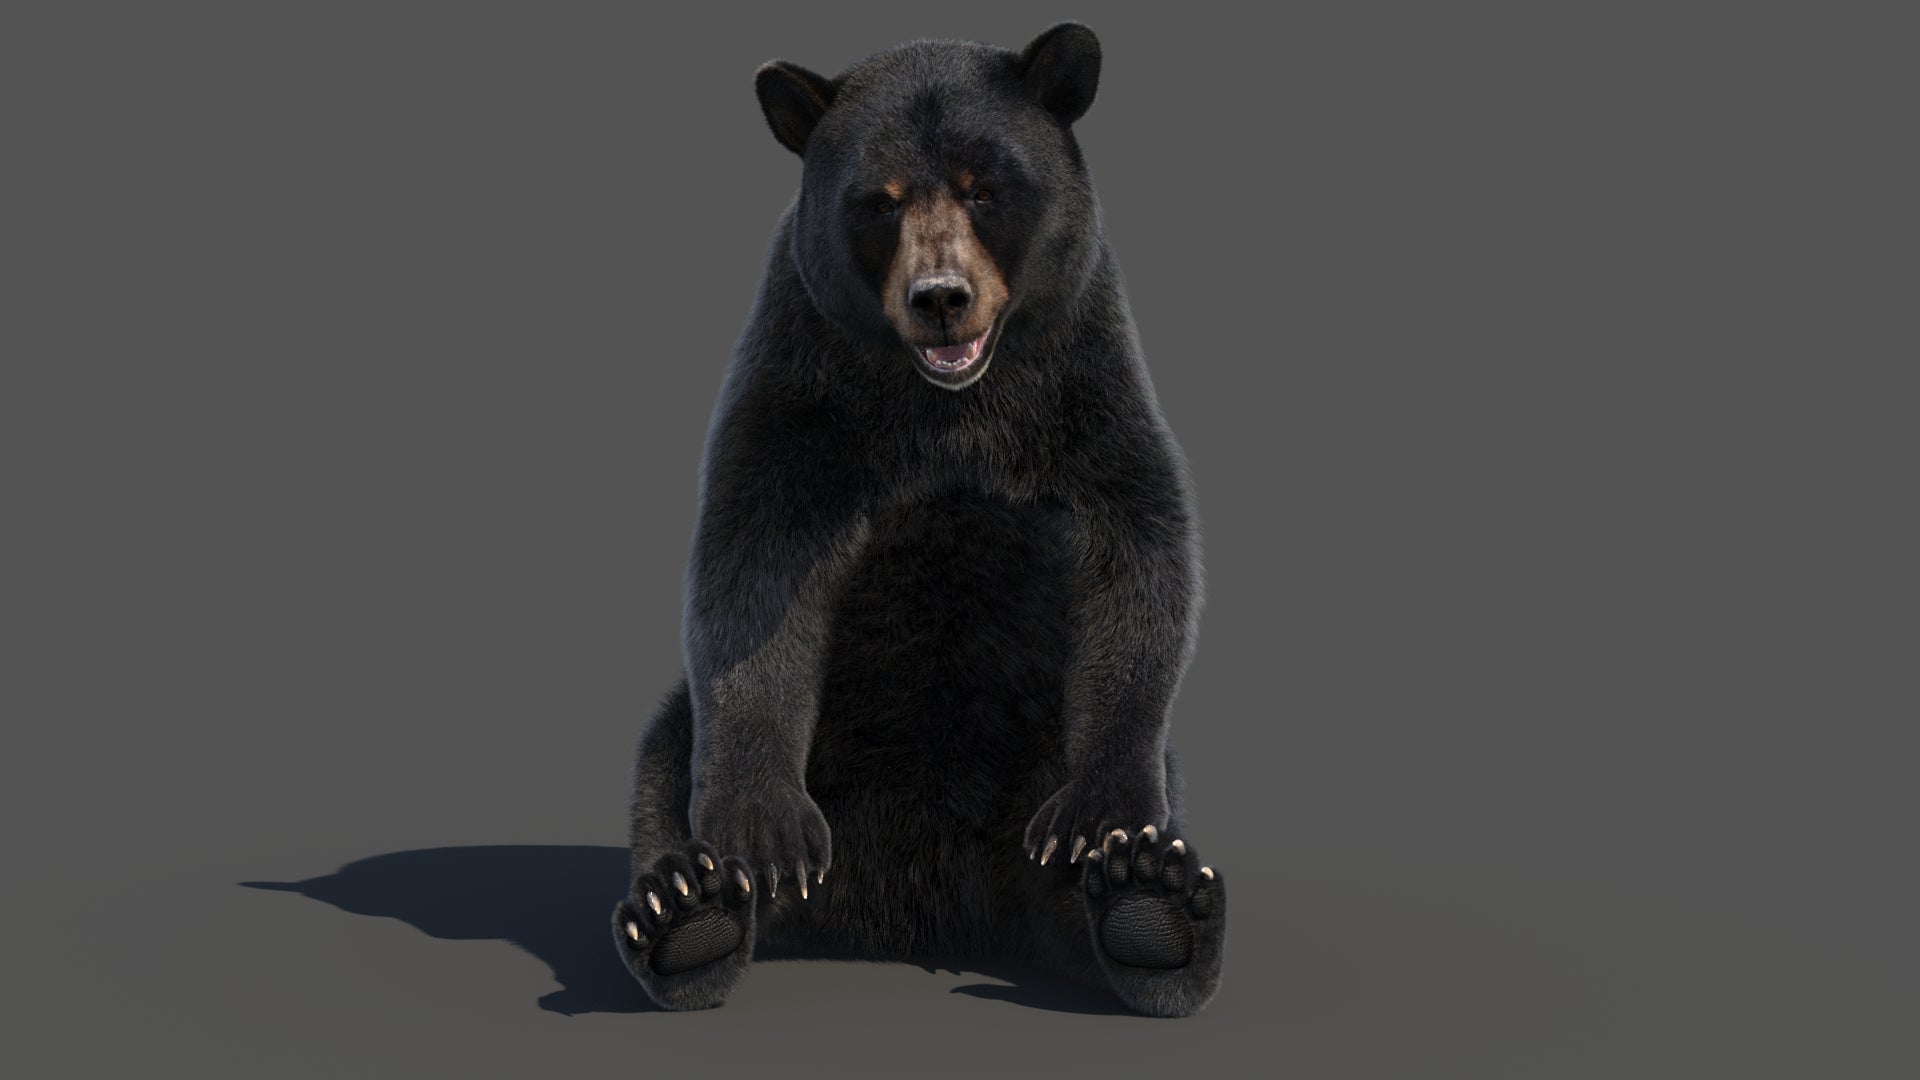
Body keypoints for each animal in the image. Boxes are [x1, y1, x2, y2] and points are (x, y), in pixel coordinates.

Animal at [611, 23, 1226, 1018]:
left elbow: (1135, 549)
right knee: (665, 755)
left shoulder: (1081, 387)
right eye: (880, 202)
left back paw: (1152, 904)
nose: (941, 296)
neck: (948, 403)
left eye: (986, 188)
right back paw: (688, 908)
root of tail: (911, 918)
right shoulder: (806, 391)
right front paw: (765, 831)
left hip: (1032, 750)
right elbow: (755, 570)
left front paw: (1104, 820)